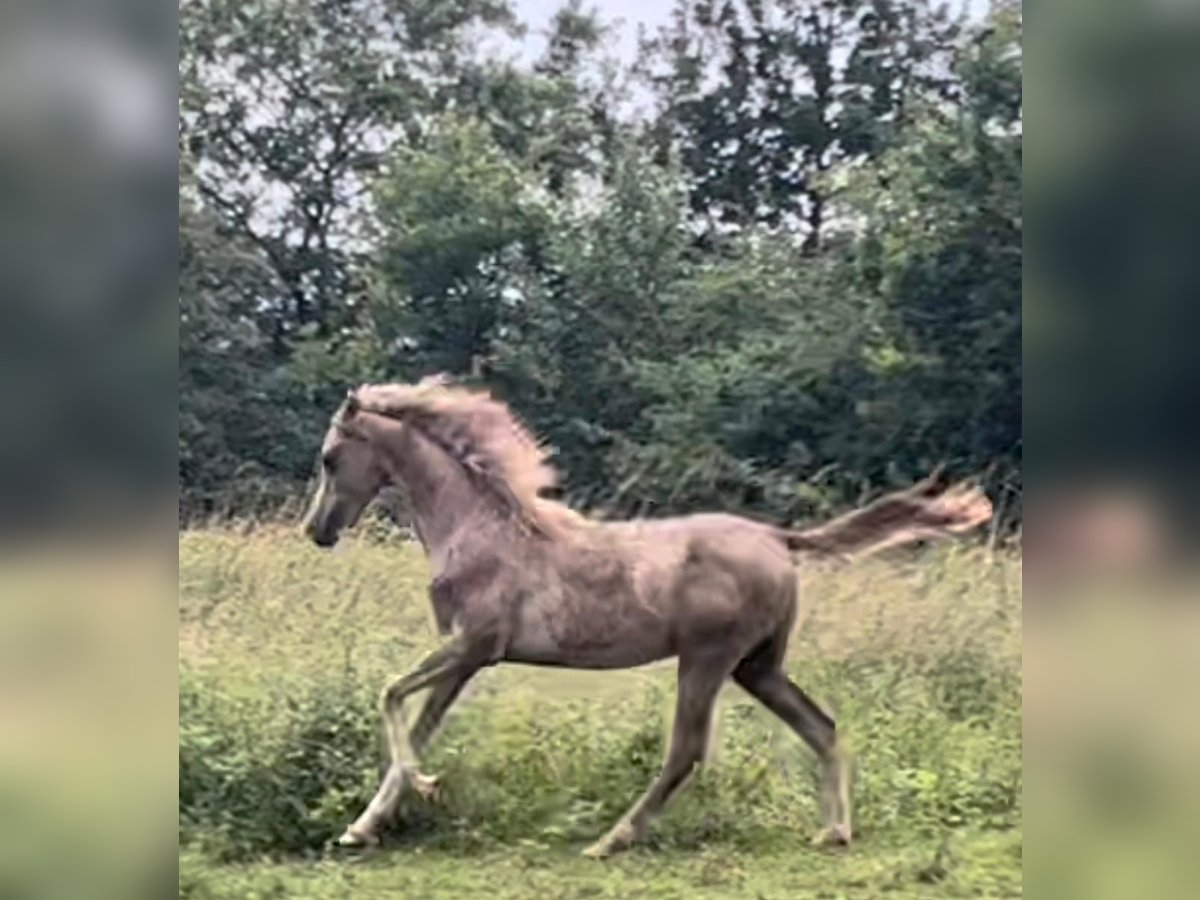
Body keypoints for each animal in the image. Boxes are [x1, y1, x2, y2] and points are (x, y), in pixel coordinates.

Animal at [300, 376, 993, 854]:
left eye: (330, 457)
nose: (317, 531)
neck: (480, 528)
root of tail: (778, 538)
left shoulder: (474, 645)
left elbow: (392, 696)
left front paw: (422, 787)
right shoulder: (467, 658)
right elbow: (417, 725)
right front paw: (362, 827)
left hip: (708, 658)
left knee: (687, 750)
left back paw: (611, 840)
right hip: (757, 666)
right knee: (821, 727)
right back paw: (835, 832)